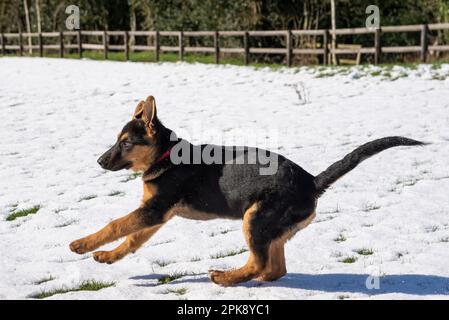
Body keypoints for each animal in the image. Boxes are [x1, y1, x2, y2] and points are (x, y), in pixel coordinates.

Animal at [69, 95, 424, 284]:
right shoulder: (157, 214)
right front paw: (107, 256)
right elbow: (131, 239)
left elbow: (116, 225)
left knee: (260, 263)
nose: (99, 161)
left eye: (126, 143)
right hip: (271, 227)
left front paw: (82, 244)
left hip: (255, 218)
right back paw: (253, 279)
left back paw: (226, 277)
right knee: (274, 267)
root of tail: (311, 180)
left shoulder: (154, 210)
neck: (166, 155)